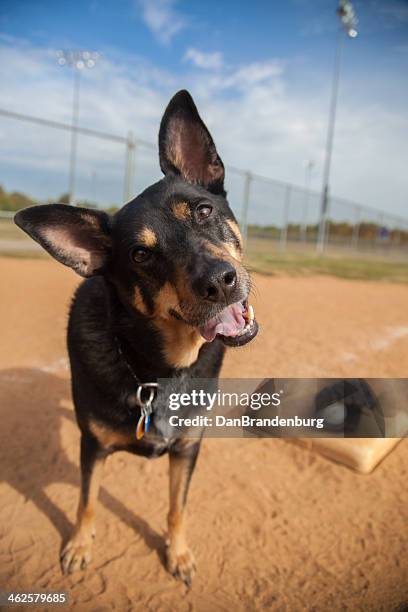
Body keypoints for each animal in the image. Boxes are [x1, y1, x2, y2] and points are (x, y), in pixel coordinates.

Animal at [16, 89, 258, 584]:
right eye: (141, 255)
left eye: (204, 211)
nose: (220, 281)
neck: (158, 372)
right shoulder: (93, 445)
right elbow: (87, 500)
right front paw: (79, 546)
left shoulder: (187, 447)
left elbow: (177, 508)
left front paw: (178, 554)